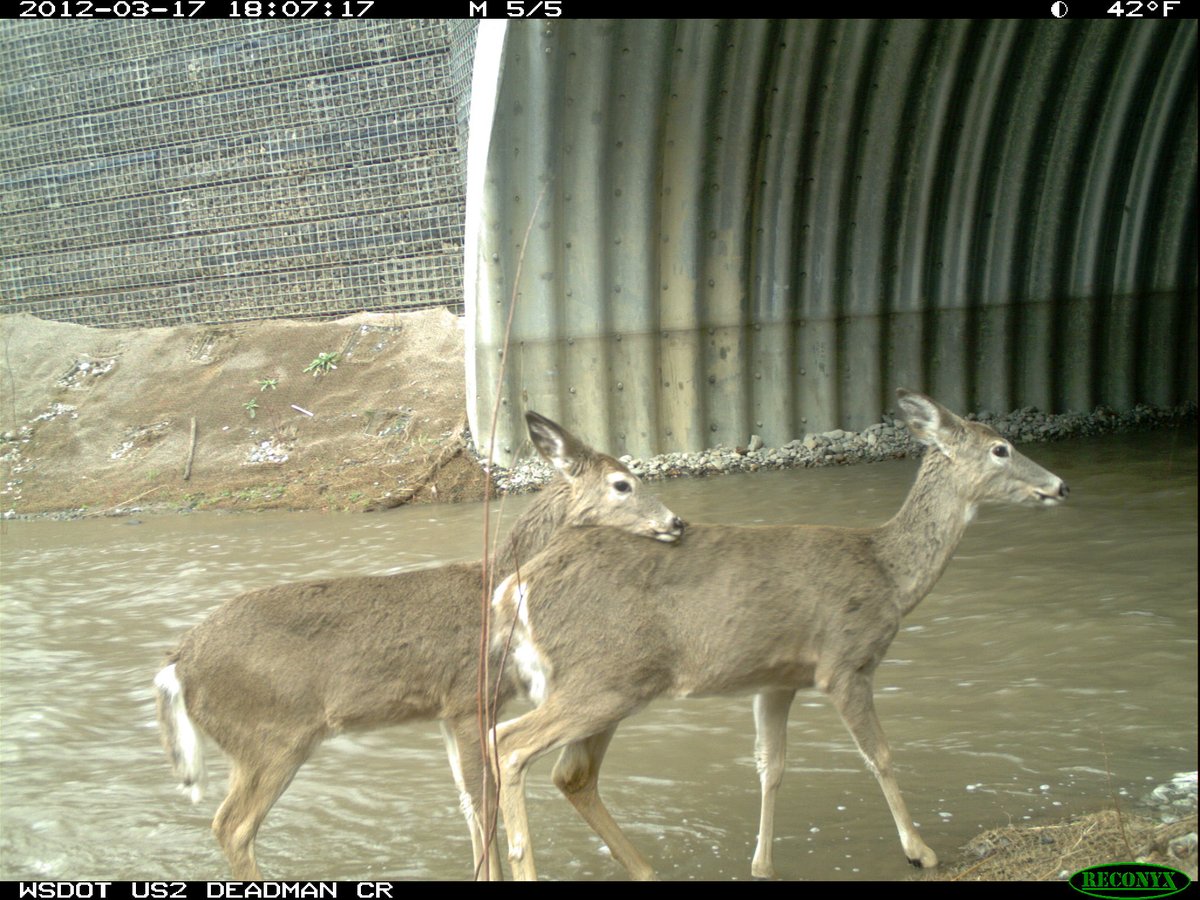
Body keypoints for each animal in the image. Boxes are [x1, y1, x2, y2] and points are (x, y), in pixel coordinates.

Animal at [153, 412, 685, 881]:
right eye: (622, 484)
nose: (677, 521)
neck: (498, 593)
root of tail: (177, 663)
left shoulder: (447, 711)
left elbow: (467, 804)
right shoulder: (470, 699)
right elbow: (484, 800)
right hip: (271, 735)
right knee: (233, 826)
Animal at [488, 389, 1070, 880]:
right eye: (1000, 449)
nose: (1060, 486)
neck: (888, 573)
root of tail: (515, 586)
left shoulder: (776, 679)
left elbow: (771, 767)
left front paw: (762, 865)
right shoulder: (845, 661)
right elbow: (879, 754)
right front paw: (920, 851)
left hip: (606, 683)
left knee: (563, 770)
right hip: (608, 677)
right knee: (510, 744)